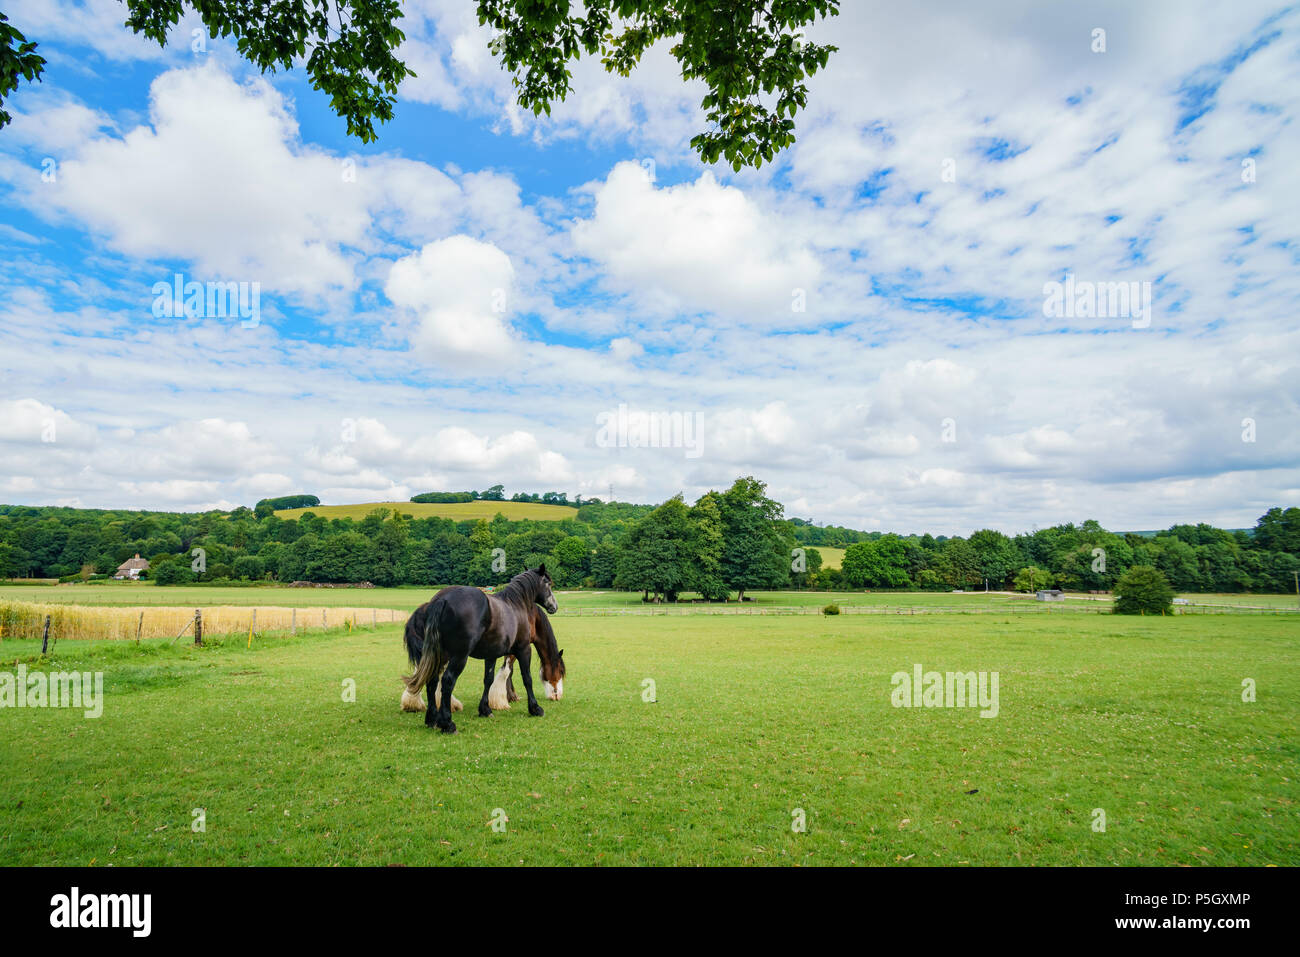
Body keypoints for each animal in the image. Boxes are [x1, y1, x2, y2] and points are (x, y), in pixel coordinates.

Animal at [400, 564, 553, 738]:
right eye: (548, 583)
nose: (554, 606)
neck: (515, 605)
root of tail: (442, 599)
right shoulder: (524, 650)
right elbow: (527, 678)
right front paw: (535, 708)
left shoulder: (491, 655)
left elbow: (488, 679)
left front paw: (485, 709)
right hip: (459, 656)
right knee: (447, 681)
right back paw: (447, 723)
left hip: (439, 656)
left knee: (432, 681)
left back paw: (432, 719)